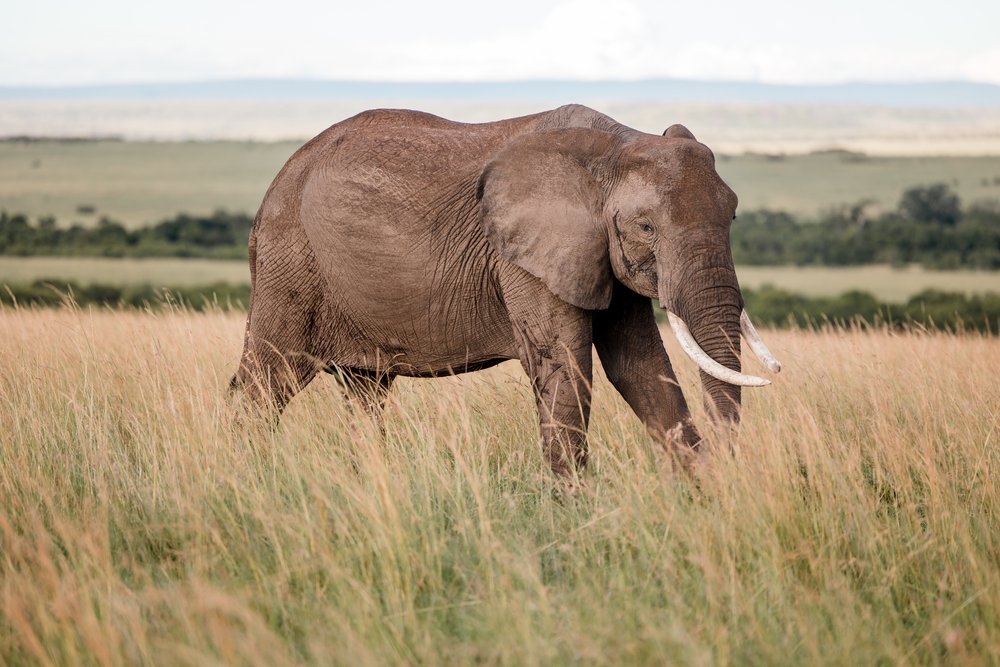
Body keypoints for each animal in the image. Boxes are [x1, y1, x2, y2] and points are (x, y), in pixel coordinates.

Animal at [230, 103, 776, 474]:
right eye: (646, 227)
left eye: (732, 216)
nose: (726, 465)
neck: (617, 145)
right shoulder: (523, 256)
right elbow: (566, 365)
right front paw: (572, 522)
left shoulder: (596, 251)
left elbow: (640, 367)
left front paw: (701, 500)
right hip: (290, 264)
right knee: (266, 382)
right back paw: (249, 481)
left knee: (365, 393)